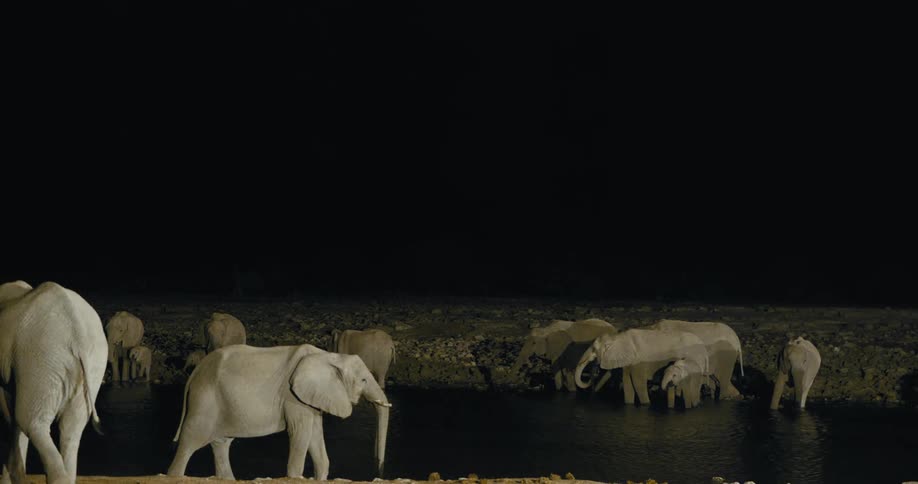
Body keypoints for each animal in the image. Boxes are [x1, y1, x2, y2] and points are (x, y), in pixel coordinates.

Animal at [167, 343, 391, 481]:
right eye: (363, 380)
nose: (378, 469)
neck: (327, 355)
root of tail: (196, 371)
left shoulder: (311, 398)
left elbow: (315, 435)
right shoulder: (293, 396)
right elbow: (301, 433)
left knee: (221, 444)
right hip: (204, 400)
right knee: (190, 441)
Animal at [574, 328, 710, 406]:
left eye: (594, 349)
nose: (594, 373)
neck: (618, 336)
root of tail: (704, 347)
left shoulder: (639, 361)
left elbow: (638, 383)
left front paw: (646, 404)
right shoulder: (629, 361)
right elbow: (628, 384)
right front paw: (629, 404)